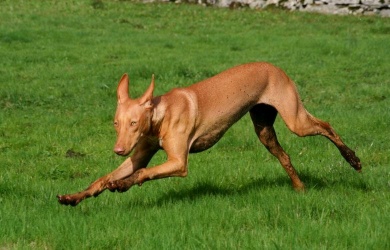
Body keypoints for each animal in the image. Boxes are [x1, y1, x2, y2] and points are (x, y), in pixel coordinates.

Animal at [56, 61, 362, 206]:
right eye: (116, 123)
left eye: (134, 123)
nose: (118, 150)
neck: (161, 114)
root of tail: (275, 67)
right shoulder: (140, 154)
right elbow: (104, 178)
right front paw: (74, 197)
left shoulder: (178, 162)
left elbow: (142, 173)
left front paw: (123, 184)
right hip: (264, 129)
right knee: (285, 156)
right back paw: (300, 188)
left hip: (295, 120)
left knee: (327, 126)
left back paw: (353, 159)